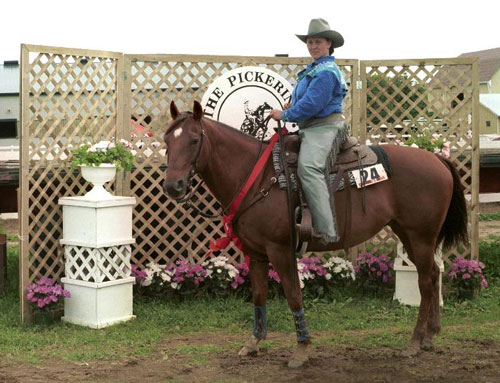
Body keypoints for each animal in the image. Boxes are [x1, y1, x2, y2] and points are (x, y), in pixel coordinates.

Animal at [163, 100, 468, 370]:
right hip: (408, 234)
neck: (258, 177)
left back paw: (414, 342)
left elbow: (294, 295)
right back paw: (430, 336)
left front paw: (302, 350)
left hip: (421, 236)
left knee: (425, 283)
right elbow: (259, 295)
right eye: (167, 141)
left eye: (193, 140)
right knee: (434, 275)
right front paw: (253, 343)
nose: (172, 186)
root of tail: (437, 158)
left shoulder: (280, 250)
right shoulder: (256, 253)